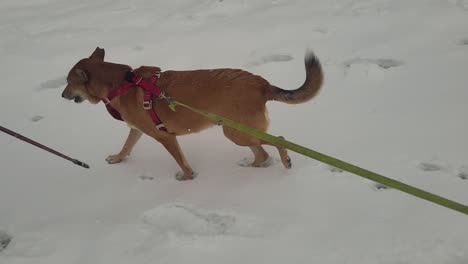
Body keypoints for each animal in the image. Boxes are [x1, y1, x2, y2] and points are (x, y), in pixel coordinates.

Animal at [62, 47, 324, 180]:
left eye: (68, 83)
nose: (62, 96)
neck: (120, 83)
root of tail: (262, 84)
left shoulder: (165, 137)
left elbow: (181, 161)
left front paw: (187, 177)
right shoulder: (137, 130)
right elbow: (127, 147)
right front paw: (117, 158)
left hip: (237, 132)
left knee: (278, 140)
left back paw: (284, 160)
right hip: (238, 132)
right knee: (262, 154)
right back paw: (249, 168)